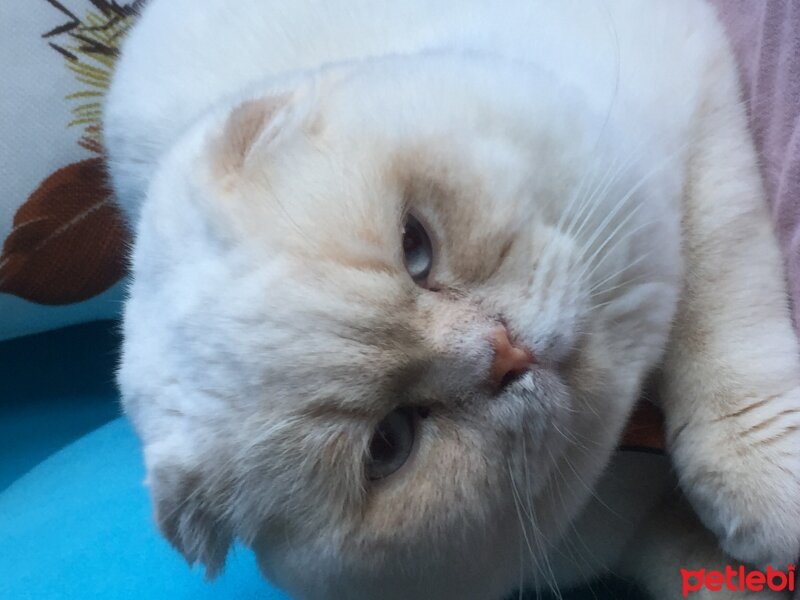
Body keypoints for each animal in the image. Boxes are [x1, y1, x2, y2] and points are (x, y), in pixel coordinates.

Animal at [106, 2, 800, 596]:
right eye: (389, 444)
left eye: (415, 248)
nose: (506, 355)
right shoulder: (629, 540)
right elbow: (704, 572)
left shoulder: (700, 119)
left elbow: (721, 325)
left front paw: (770, 483)